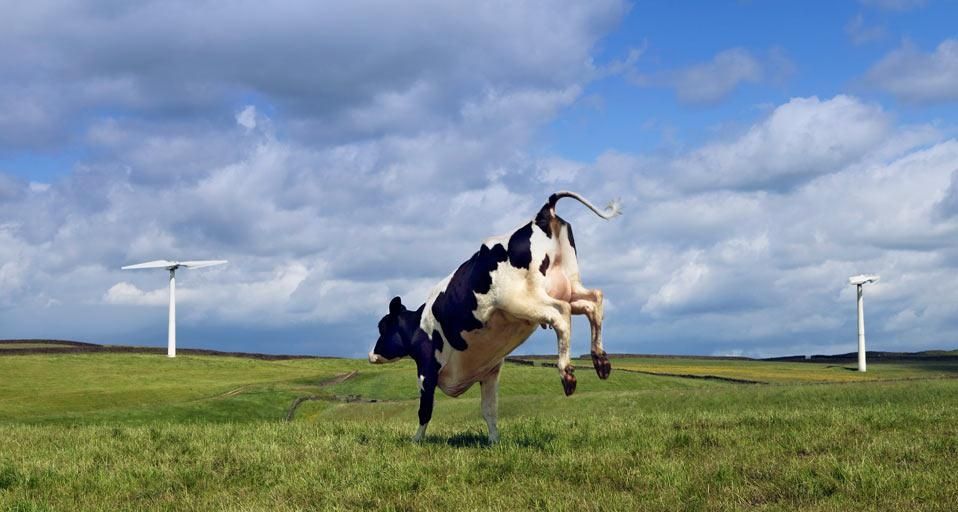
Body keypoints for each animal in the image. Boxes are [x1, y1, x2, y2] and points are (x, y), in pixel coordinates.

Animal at [369, 191, 620, 443]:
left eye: (382, 327)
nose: (371, 354)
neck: (420, 326)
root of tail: (541, 215)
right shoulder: (489, 372)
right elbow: (489, 409)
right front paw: (494, 442)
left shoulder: (426, 370)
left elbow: (425, 410)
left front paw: (416, 441)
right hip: (569, 287)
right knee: (593, 301)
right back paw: (601, 361)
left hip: (524, 299)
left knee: (560, 313)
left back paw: (567, 374)